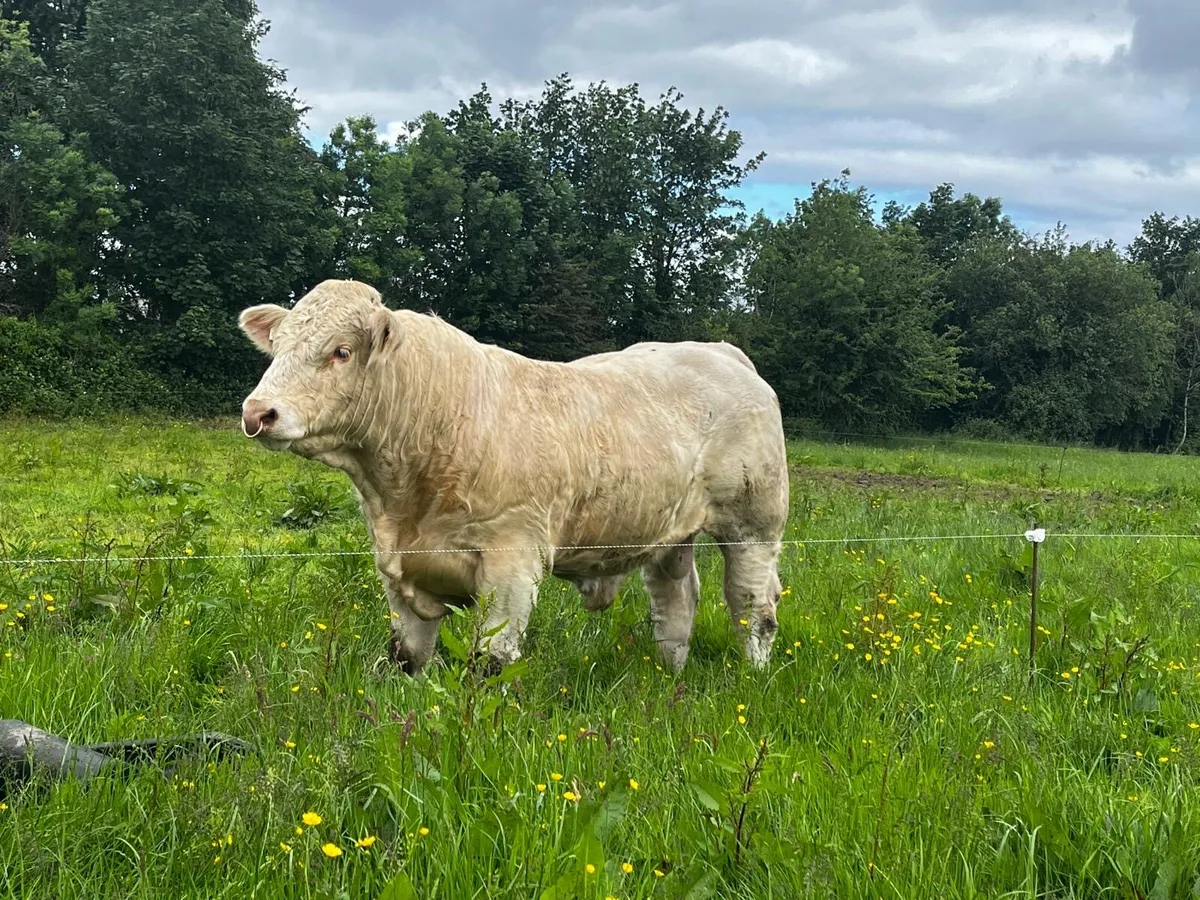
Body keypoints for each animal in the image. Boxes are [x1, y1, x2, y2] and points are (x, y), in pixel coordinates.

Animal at [237, 279, 790, 676]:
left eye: (341, 351)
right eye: (278, 347)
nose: (258, 412)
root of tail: (720, 350)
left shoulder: (512, 564)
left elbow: (490, 661)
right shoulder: (397, 572)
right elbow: (407, 657)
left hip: (754, 524)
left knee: (752, 607)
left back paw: (753, 678)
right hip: (668, 531)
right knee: (675, 605)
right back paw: (670, 678)